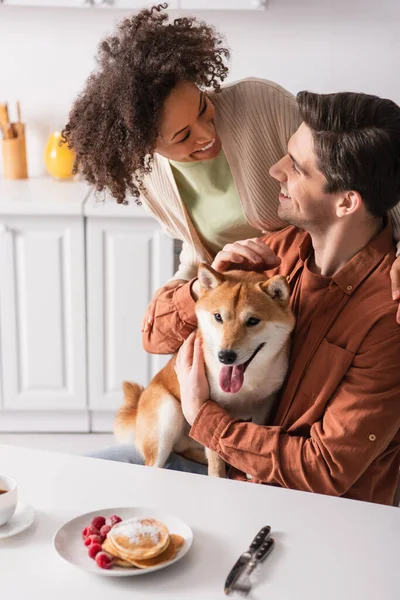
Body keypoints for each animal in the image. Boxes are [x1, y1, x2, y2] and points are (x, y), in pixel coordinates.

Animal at [114, 264, 296, 476]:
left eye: (252, 321)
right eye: (218, 317)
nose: (225, 356)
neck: (247, 382)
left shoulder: (265, 404)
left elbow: (256, 439)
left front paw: (252, 470)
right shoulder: (210, 409)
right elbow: (215, 457)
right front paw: (218, 476)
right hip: (167, 417)